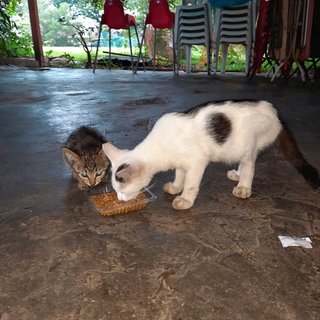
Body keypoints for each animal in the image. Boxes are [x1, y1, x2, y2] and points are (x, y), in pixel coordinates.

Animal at [103, 100, 320, 210]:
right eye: (115, 191)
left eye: (123, 190)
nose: (119, 200)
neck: (161, 147)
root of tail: (273, 110)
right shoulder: (181, 162)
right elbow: (180, 174)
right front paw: (176, 186)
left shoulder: (197, 161)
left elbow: (191, 183)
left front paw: (185, 199)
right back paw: (237, 175)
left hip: (245, 145)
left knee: (250, 165)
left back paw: (243, 187)